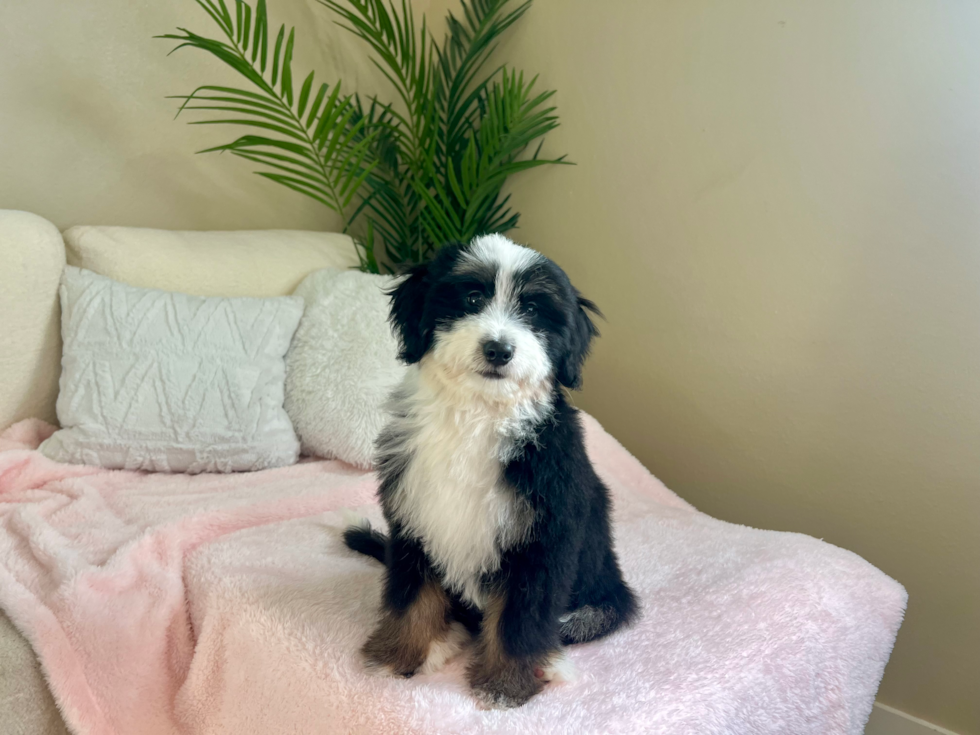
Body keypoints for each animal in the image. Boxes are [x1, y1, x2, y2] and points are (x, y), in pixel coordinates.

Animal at [346, 234, 644, 708]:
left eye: (533, 311)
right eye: (472, 298)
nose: (499, 349)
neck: (478, 416)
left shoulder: (542, 537)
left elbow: (520, 619)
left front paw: (506, 684)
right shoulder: (415, 515)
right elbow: (412, 595)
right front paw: (400, 655)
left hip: (603, 590)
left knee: (580, 620)